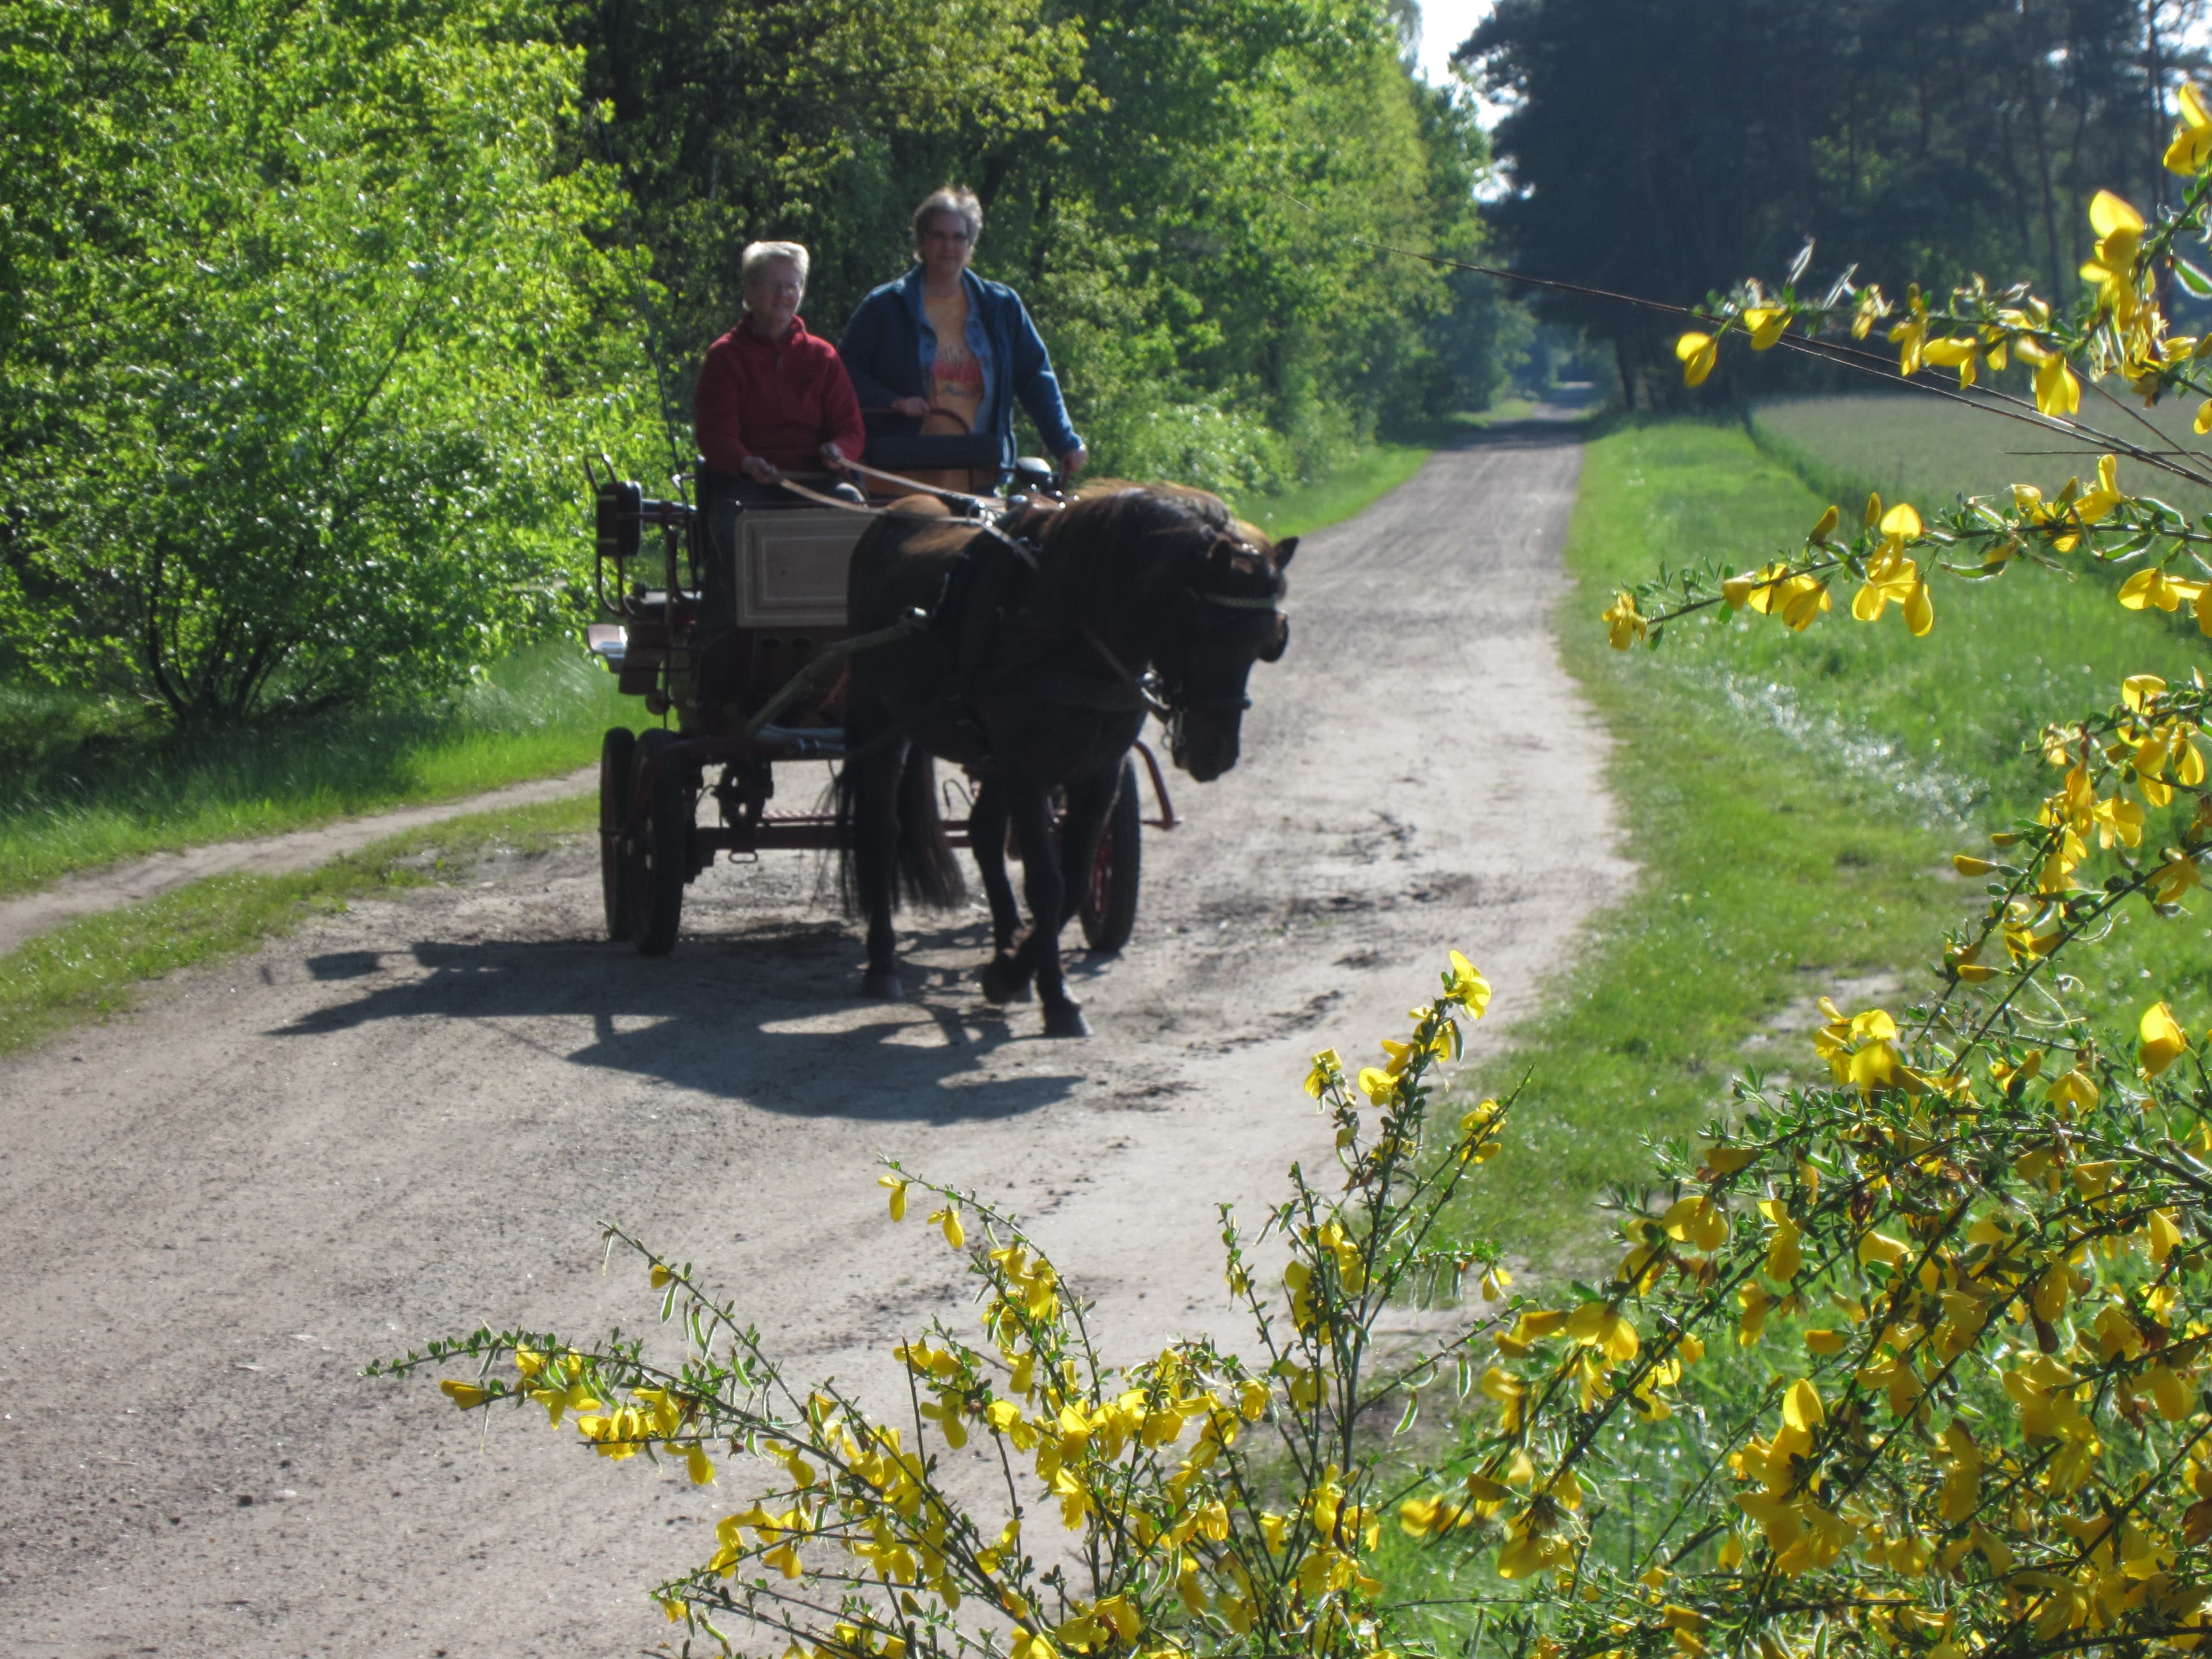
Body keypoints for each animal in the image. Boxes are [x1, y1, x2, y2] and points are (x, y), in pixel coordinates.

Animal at [840, 478, 1291, 1039]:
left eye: (1266, 642)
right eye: (1203, 632)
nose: (1216, 755)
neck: (1067, 626)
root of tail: (889, 515)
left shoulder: (1099, 772)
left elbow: (1074, 882)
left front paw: (1013, 972)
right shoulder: (1028, 771)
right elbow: (1048, 885)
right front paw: (1052, 996)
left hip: (988, 754)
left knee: (984, 832)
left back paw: (1007, 939)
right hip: (881, 720)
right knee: (882, 831)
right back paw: (882, 962)